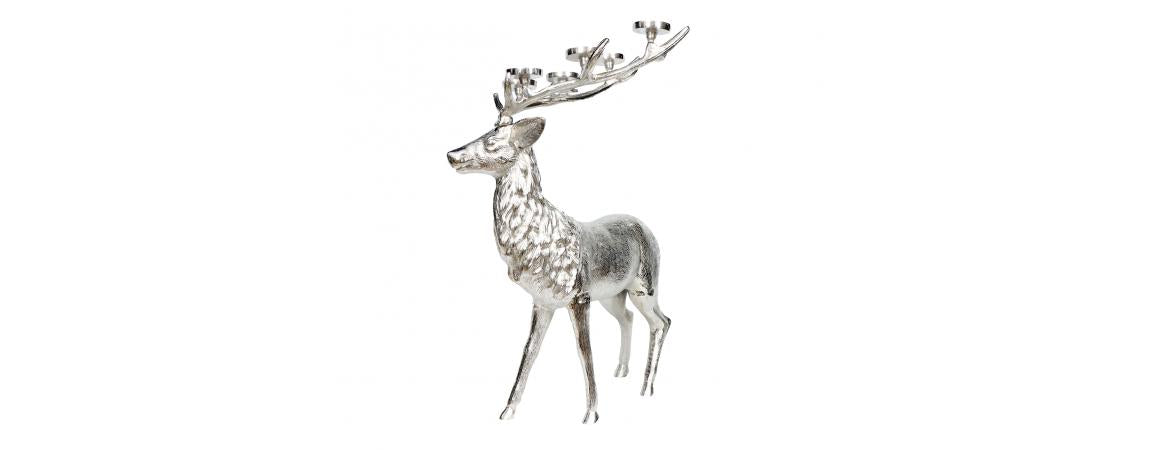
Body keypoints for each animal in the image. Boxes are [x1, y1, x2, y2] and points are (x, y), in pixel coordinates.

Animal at [445, 21, 689, 423]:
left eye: (493, 141)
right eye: (481, 131)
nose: (451, 154)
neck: (531, 244)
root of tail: (647, 227)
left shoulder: (579, 295)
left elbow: (583, 353)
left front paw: (591, 414)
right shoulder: (542, 301)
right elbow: (528, 353)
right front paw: (507, 411)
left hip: (646, 283)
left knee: (663, 321)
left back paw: (647, 387)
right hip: (614, 294)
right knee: (629, 318)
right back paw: (622, 371)